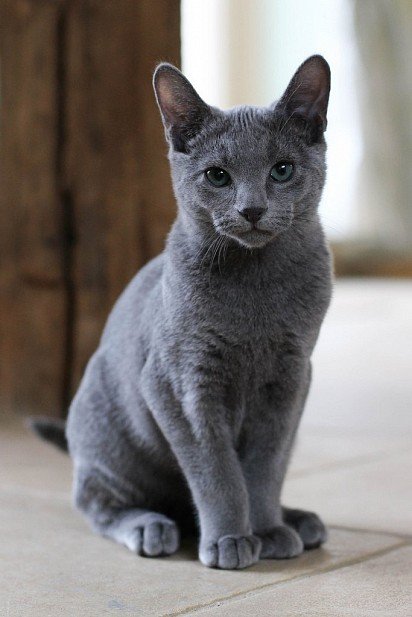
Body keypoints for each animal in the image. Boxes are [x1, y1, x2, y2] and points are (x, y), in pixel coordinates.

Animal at [35, 55, 334, 572]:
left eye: (282, 170)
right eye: (217, 176)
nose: (251, 209)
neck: (255, 286)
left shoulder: (291, 379)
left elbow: (265, 467)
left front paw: (268, 529)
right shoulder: (181, 382)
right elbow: (217, 471)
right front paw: (231, 539)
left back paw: (297, 520)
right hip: (106, 429)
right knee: (97, 500)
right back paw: (150, 528)